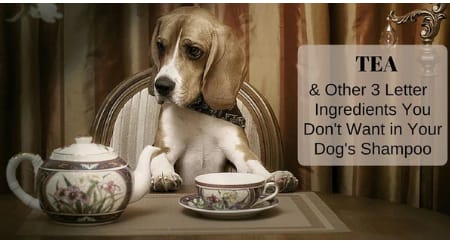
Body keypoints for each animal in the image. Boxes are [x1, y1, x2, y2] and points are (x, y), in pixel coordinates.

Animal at [146, 6, 298, 192]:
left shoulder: (239, 150)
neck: (200, 111)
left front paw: (275, 176)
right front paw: (164, 175)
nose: (162, 85)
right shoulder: (164, 146)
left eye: (194, 51)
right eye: (160, 46)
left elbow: (256, 166)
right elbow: (158, 157)